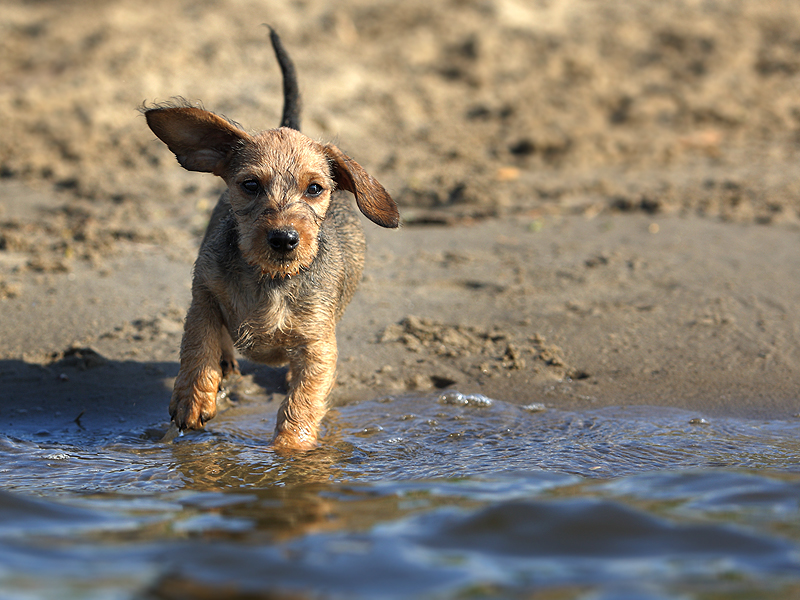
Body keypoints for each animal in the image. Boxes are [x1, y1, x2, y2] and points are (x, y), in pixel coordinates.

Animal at [145, 29, 400, 450]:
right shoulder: (204, 295)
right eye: (250, 185)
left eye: (314, 188)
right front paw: (193, 398)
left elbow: (303, 401)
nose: (284, 238)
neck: (270, 281)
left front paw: (291, 452)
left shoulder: (318, 347)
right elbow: (199, 346)